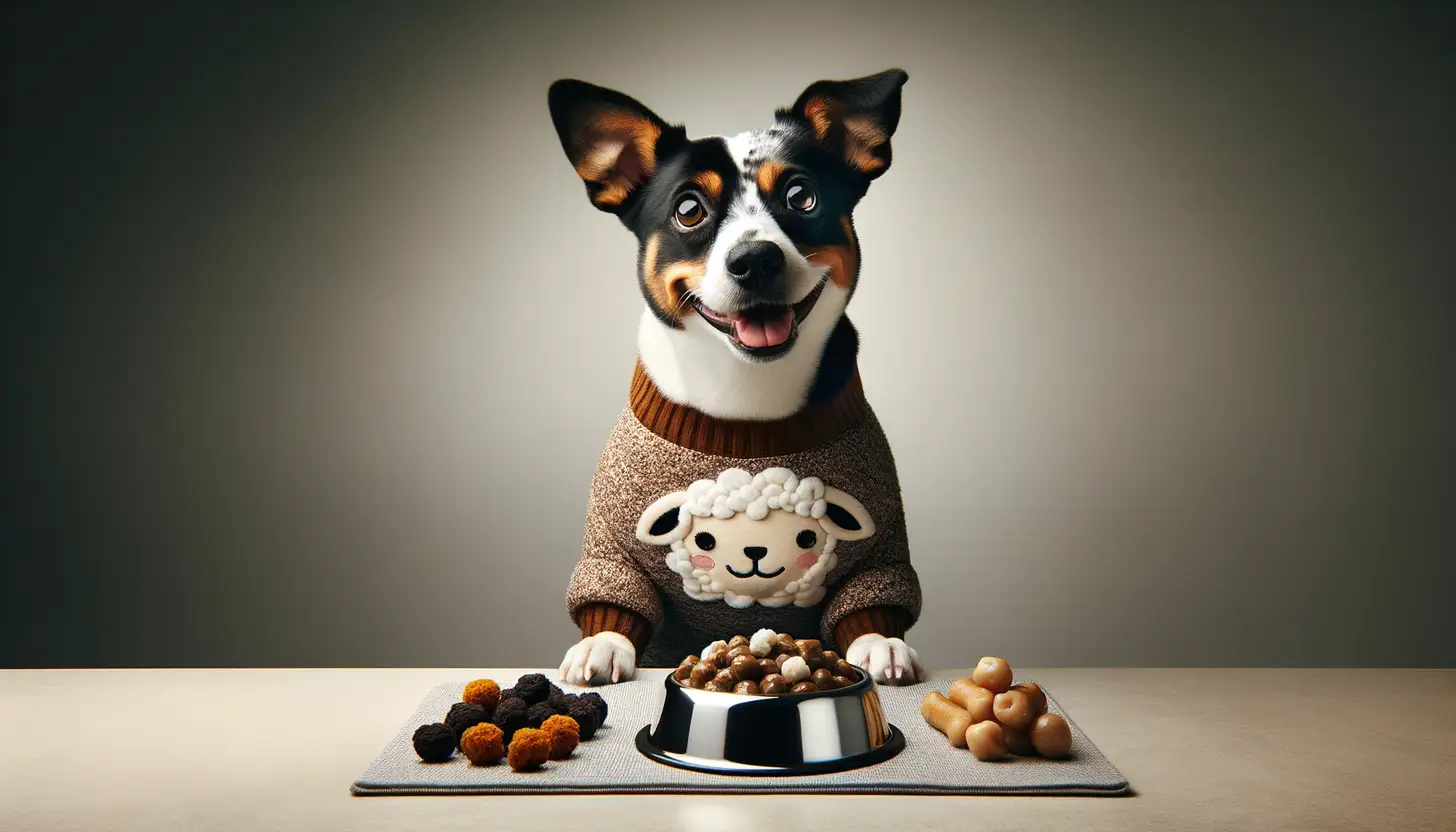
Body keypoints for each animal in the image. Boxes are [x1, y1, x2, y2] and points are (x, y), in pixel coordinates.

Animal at [547, 68, 920, 687]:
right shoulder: (612, 545)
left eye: (801, 196)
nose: (755, 260)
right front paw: (601, 641)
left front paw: (879, 639)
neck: (745, 405)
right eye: (689, 209)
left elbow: (870, 596)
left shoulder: (881, 545)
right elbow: (616, 596)